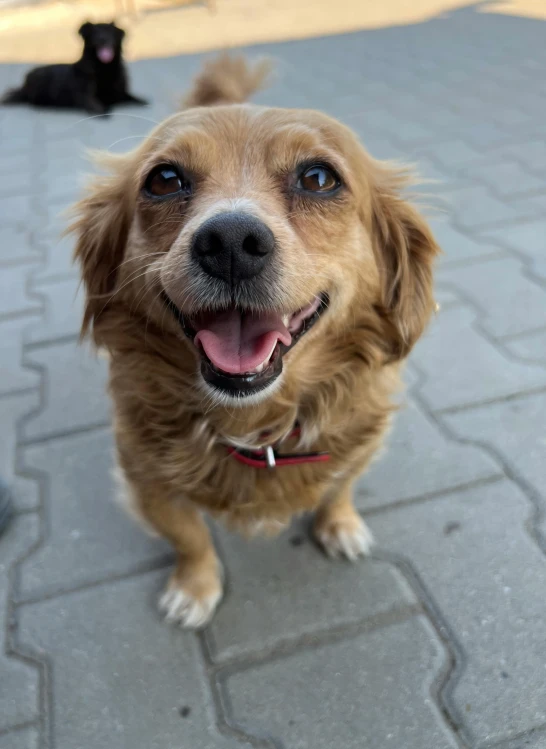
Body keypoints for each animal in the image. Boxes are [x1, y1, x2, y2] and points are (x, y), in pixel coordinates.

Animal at [2, 21, 147, 114]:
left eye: (110, 32)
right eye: (94, 33)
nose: (103, 39)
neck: (103, 68)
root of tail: (24, 85)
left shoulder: (119, 92)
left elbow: (130, 96)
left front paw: (141, 100)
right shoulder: (86, 96)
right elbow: (95, 104)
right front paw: (103, 109)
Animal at [71, 55, 438, 624]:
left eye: (318, 178)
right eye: (164, 180)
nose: (229, 243)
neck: (256, 427)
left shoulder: (363, 442)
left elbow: (340, 486)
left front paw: (340, 523)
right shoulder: (145, 479)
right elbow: (189, 536)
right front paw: (196, 585)